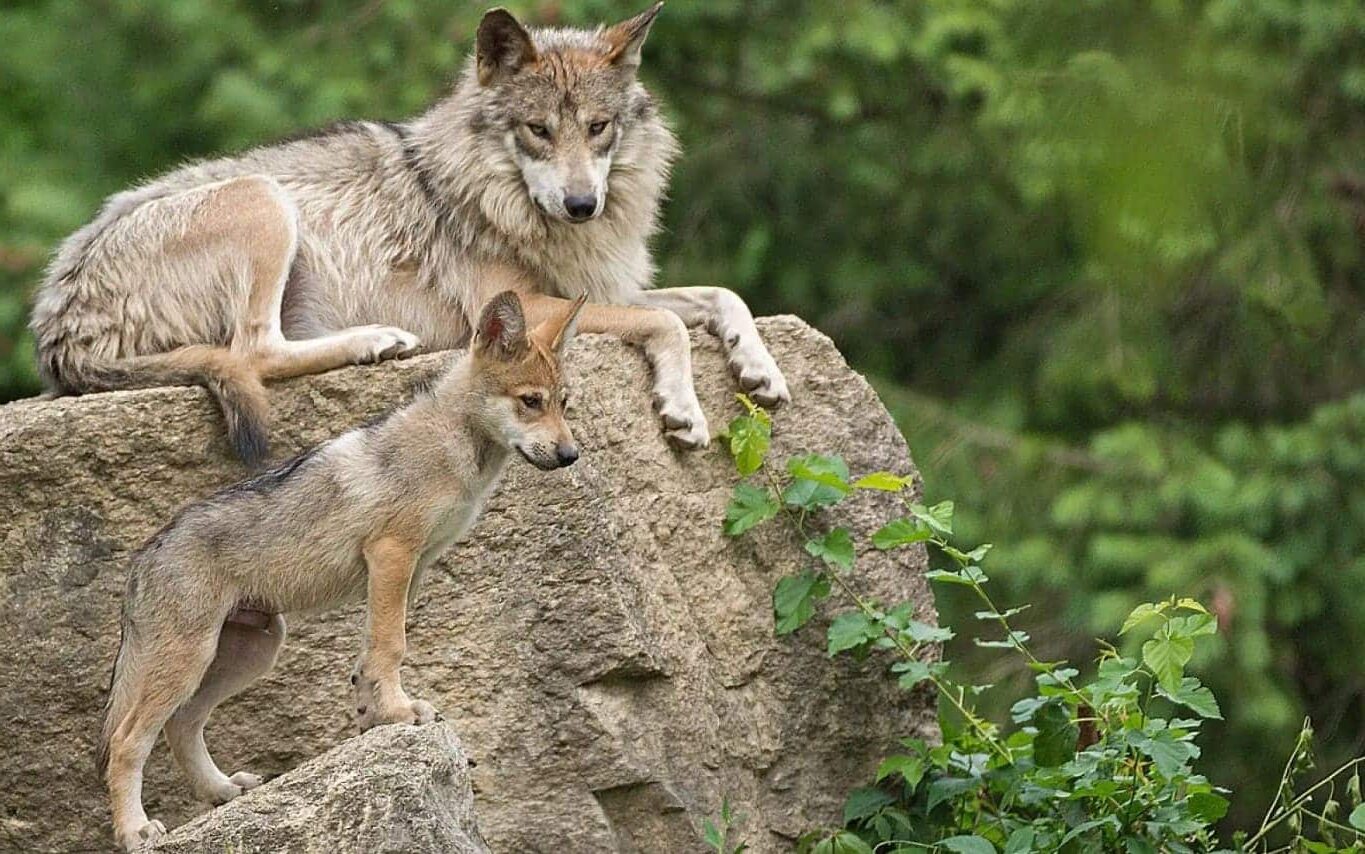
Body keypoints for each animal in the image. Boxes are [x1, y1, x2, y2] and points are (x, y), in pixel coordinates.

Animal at [29, 3, 789, 465]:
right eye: (538, 130)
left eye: (598, 128)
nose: (581, 204)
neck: (501, 196)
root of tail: (57, 331)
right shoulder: (522, 308)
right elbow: (667, 321)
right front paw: (684, 408)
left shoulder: (600, 287)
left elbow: (720, 296)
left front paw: (760, 367)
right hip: (264, 200)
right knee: (254, 350)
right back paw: (375, 341)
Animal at [96, 291, 583, 852]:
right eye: (531, 401)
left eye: (564, 403)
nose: (571, 455)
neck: (452, 445)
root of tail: (142, 558)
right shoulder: (392, 555)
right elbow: (392, 648)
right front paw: (400, 713)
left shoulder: (410, 570)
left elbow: (371, 655)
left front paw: (375, 718)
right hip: (190, 661)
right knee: (128, 743)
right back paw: (136, 830)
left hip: (250, 652)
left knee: (182, 727)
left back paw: (223, 791)